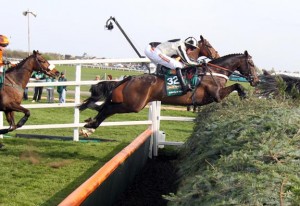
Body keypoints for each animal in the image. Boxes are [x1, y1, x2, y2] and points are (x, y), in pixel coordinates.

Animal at [80, 50, 260, 130]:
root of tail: (130, 78)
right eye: (251, 64)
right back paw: (93, 123)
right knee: (109, 108)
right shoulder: (215, 95)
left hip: (129, 102)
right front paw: (244, 95)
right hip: (133, 105)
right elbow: (236, 86)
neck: (215, 71)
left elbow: (236, 86)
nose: (256, 80)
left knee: (105, 106)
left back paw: (91, 120)